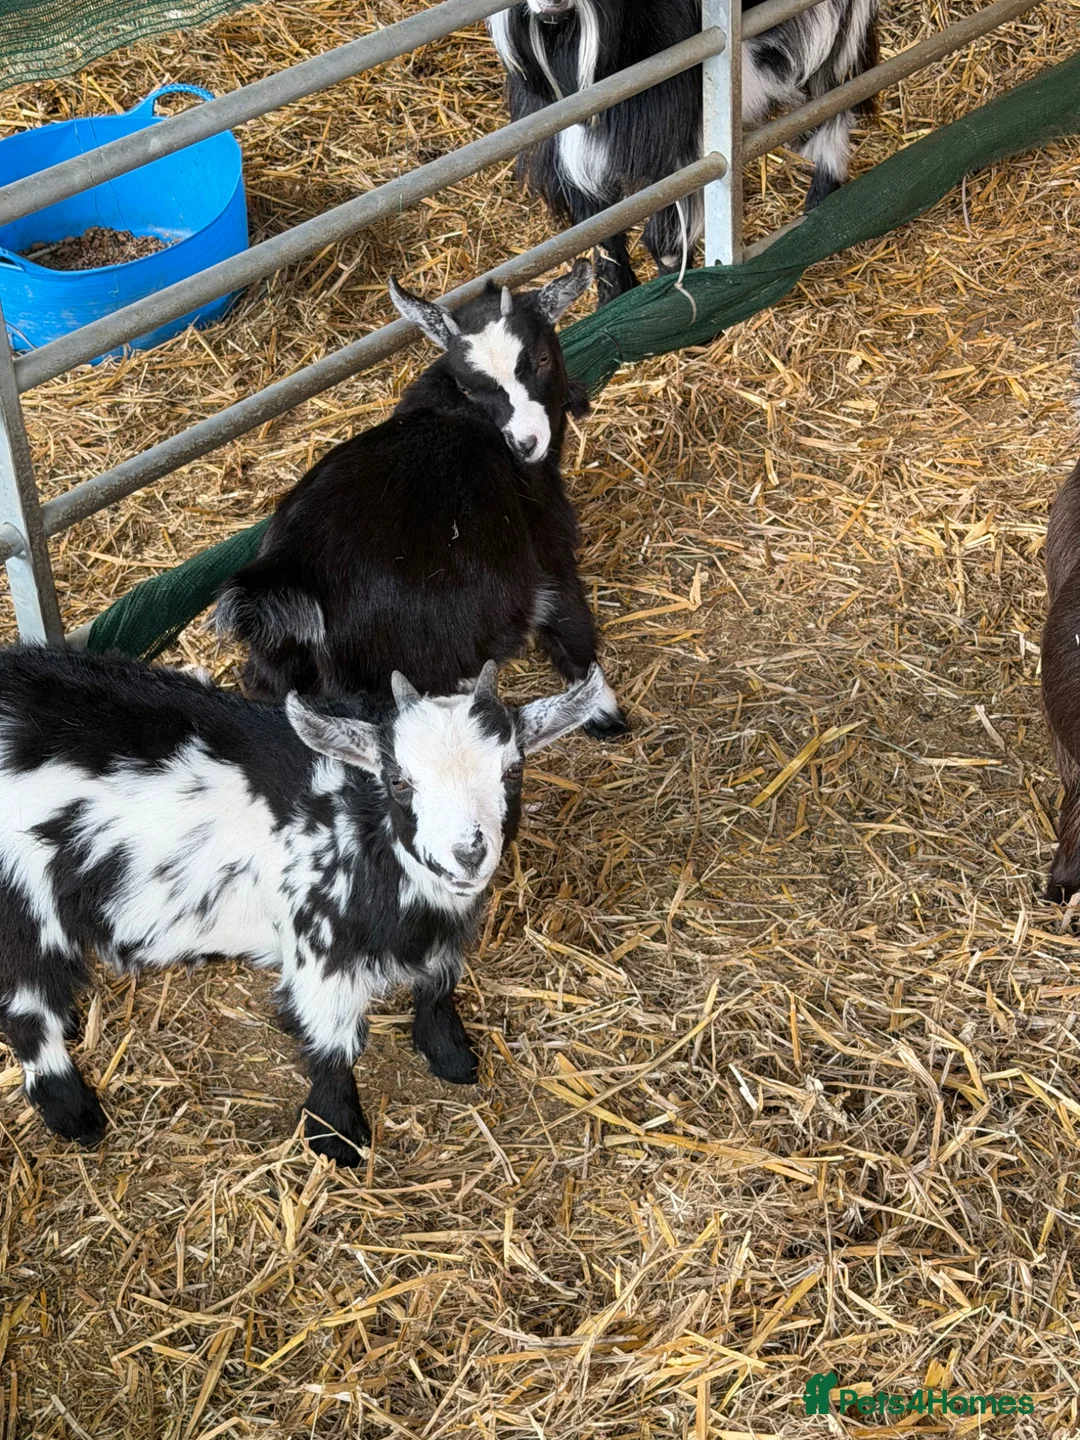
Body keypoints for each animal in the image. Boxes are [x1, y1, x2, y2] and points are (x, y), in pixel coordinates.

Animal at [0, 646, 605, 1163]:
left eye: (513, 770)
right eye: (399, 780)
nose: (468, 853)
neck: (355, 826)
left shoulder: (437, 937)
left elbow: (438, 987)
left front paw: (451, 1055)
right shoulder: (320, 949)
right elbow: (334, 1043)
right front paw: (337, 1135)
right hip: (22, 905)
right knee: (27, 1009)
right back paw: (73, 1111)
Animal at [216, 261, 627, 739]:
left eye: (541, 358)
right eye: (469, 386)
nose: (526, 444)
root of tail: (291, 573)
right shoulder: (549, 549)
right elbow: (571, 623)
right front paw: (603, 710)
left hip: (280, 673)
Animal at [488, 0, 879, 304]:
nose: (552, 2)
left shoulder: (679, 148)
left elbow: (665, 238)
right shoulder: (565, 146)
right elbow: (599, 234)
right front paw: (613, 302)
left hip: (838, 29)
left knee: (836, 101)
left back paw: (821, 205)